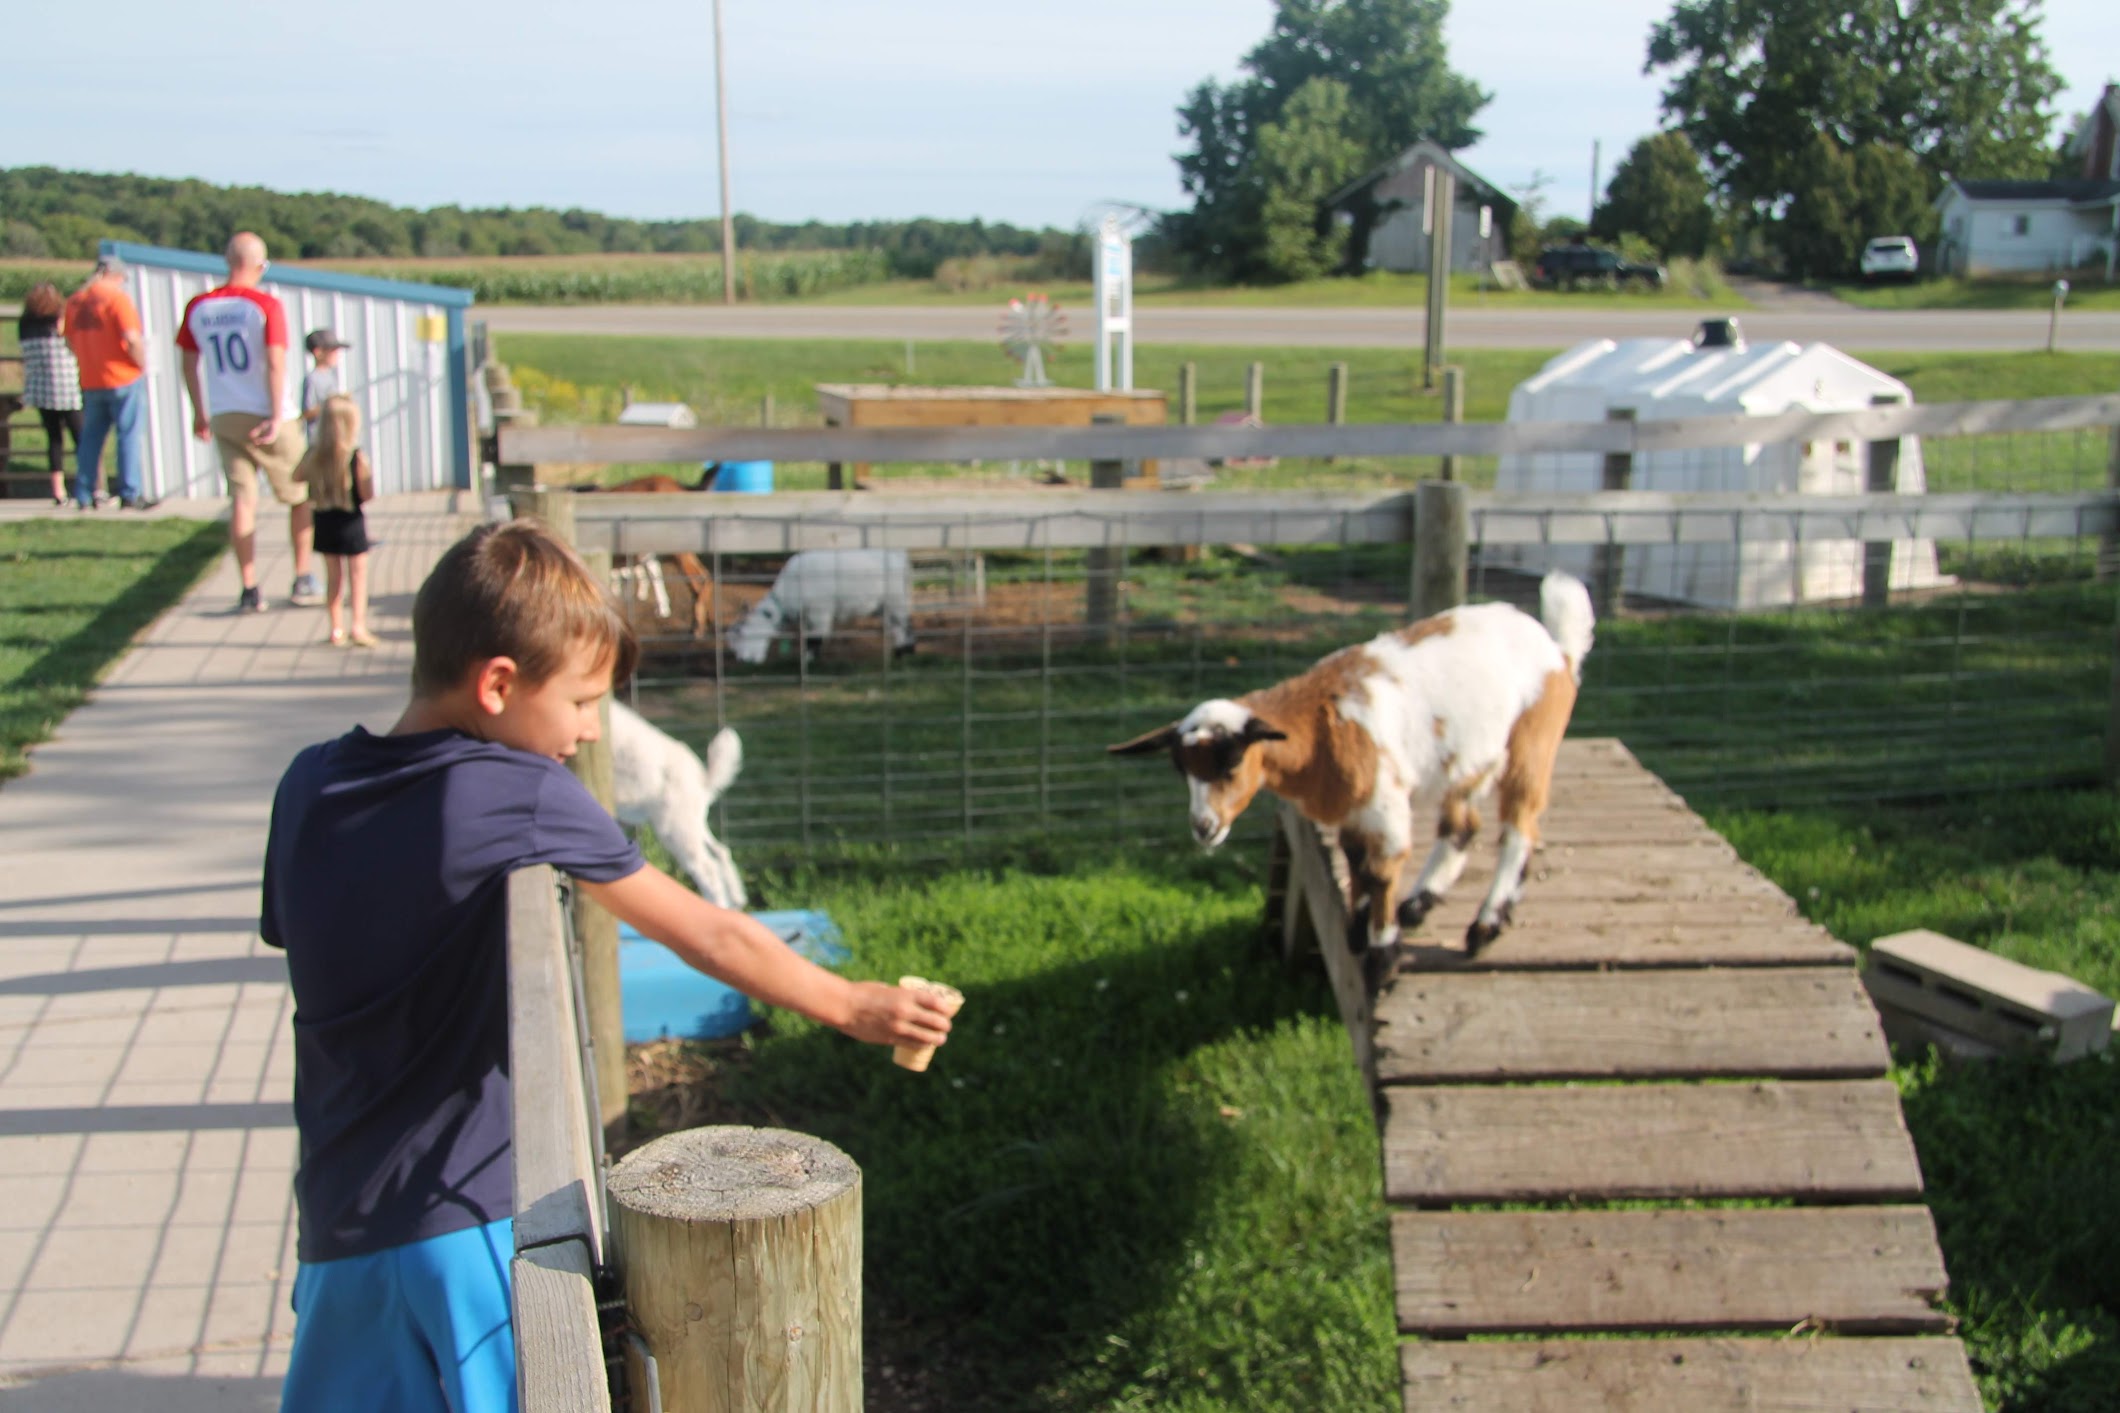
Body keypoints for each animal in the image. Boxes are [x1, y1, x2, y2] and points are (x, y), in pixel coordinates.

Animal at [610, 703, 750, 910]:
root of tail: (703, 780)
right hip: (693, 824)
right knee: (720, 851)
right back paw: (736, 899)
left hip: (676, 831)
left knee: (707, 869)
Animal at [729, 550, 911, 665]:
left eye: (741, 633)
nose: (743, 660)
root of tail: (900, 558)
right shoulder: (808, 616)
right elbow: (809, 638)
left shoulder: (819, 611)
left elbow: (815, 638)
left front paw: (807, 661)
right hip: (885, 604)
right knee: (896, 627)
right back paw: (899, 653)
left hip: (896, 599)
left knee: (903, 625)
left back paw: (904, 652)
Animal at [1110, 567, 1594, 966]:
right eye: (1181, 769)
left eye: (1231, 763)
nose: (1204, 828)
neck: (1322, 728)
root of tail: (1558, 648)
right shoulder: (1352, 809)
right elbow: (1356, 862)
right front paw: (1358, 931)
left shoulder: (1384, 803)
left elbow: (1380, 871)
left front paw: (1383, 953)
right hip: (1472, 758)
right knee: (1462, 825)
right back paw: (1419, 904)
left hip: (1532, 742)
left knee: (1519, 830)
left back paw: (1484, 927)